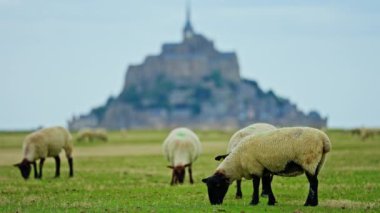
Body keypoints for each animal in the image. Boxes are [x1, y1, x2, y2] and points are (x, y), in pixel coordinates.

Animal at [203, 126, 332, 206]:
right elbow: (267, 186)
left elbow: (256, 185)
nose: (214, 203)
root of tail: (324, 140)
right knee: (314, 182)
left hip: (309, 161)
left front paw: (253, 202)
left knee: (313, 183)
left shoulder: (255, 168)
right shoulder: (264, 169)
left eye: (218, 185)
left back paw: (309, 204)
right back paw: (312, 203)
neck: (238, 161)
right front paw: (271, 202)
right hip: (319, 163)